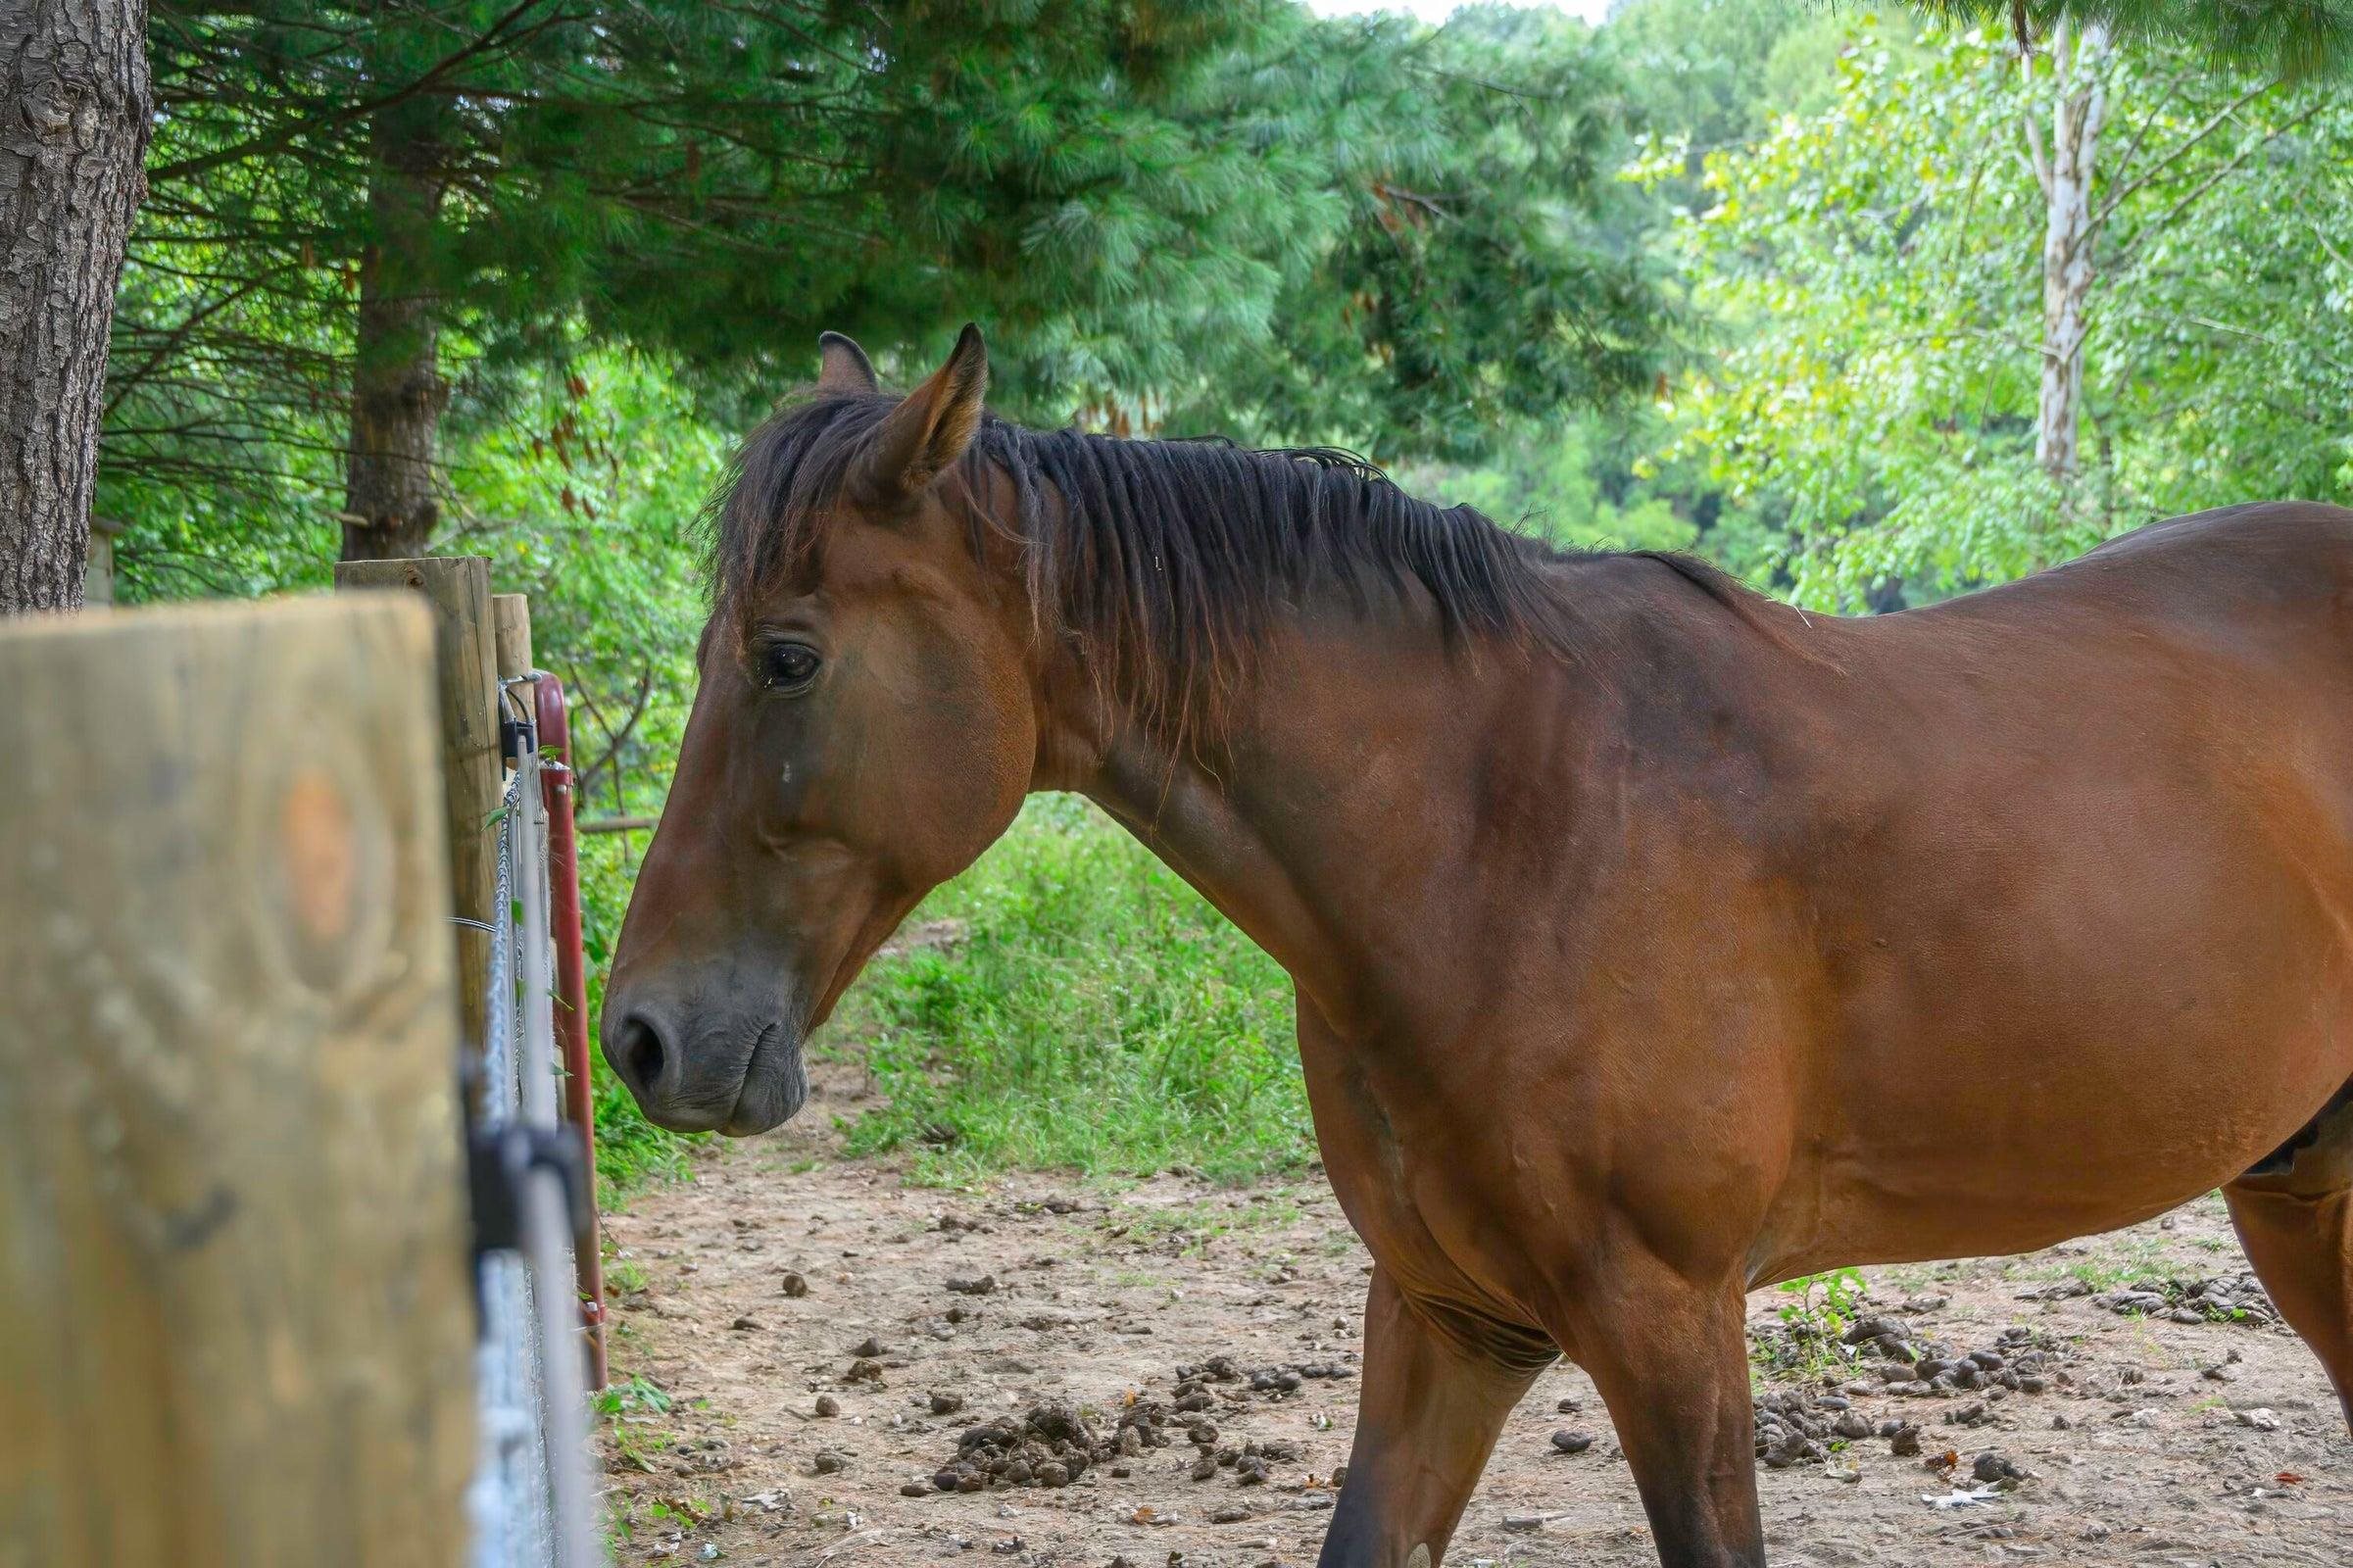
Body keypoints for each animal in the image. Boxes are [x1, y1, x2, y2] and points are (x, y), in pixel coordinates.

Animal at [607, 322, 2353, 1553]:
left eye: (787, 657)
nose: (639, 1035)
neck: (1502, 834)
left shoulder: (1669, 1325)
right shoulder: (1446, 1319)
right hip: (2298, 1190)